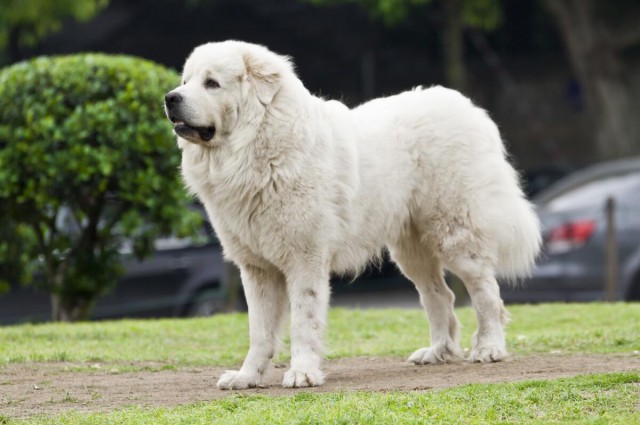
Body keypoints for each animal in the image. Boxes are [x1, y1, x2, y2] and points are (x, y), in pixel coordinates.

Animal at [164, 41, 540, 390]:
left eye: (212, 83)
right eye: (185, 81)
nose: (170, 98)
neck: (258, 145)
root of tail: (469, 108)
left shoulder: (305, 260)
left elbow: (303, 321)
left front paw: (302, 373)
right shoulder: (257, 268)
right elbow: (259, 331)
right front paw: (247, 376)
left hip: (455, 234)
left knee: (486, 292)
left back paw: (489, 348)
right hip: (411, 252)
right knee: (440, 296)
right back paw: (437, 352)